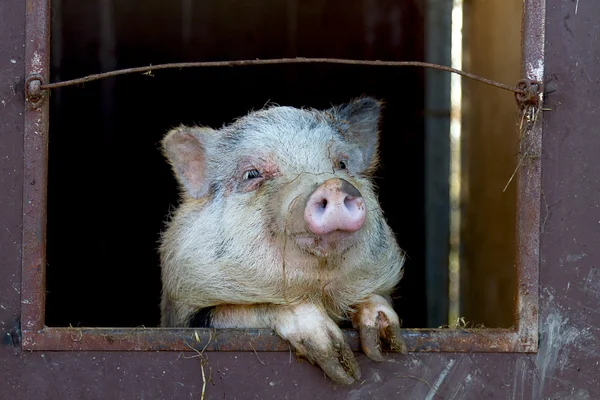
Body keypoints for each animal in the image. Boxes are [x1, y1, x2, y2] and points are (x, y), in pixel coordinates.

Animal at [159, 97, 406, 384]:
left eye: (342, 164)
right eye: (252, 174)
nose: (332, 185)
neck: (319, 291)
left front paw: (383, 346)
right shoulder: (186, 314)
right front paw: (342, 368)